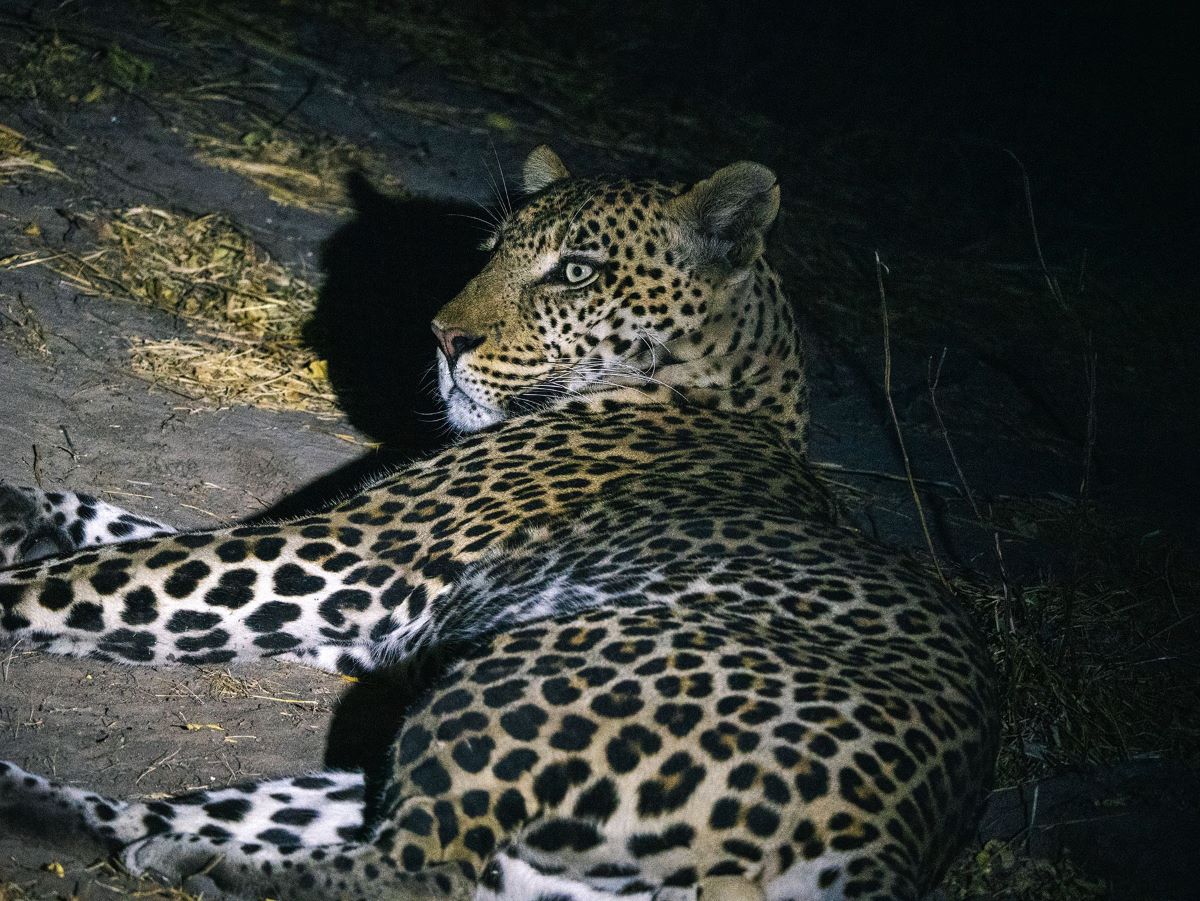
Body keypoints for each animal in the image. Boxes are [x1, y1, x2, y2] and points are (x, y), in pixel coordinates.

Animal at [0, 144, 998, 897]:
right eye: (493, 249)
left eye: (578, 272)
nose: (442, 338)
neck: (732, 395)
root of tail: (899, 842)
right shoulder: (355, 610)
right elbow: (137, 533)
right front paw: (24, 508)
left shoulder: (346, 557)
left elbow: (101, 577)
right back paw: (54, 807)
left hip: (522, 673)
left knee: (415, 870)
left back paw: (192, 862)